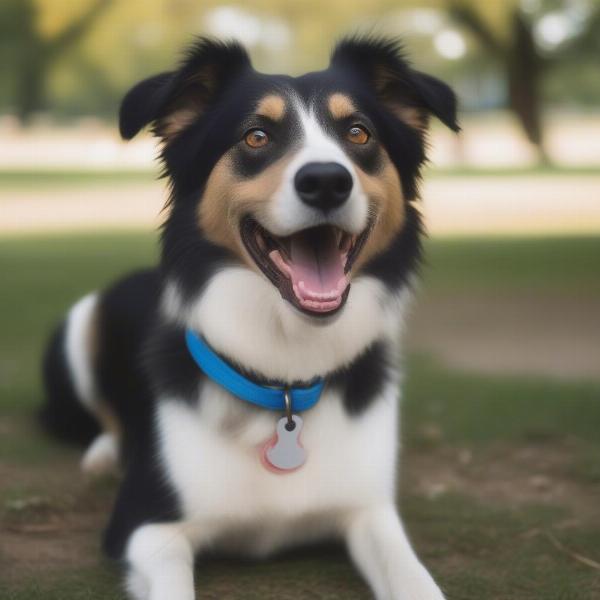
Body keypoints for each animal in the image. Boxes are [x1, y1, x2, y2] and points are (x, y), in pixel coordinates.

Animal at [39, 38, 458, 600]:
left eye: (358, 132)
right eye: (256, 136)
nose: (326, 181)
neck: (284, 377)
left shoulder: (370, 510)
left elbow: (414, 579)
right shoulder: (147, 525)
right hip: (80, 326)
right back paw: (105, 454)